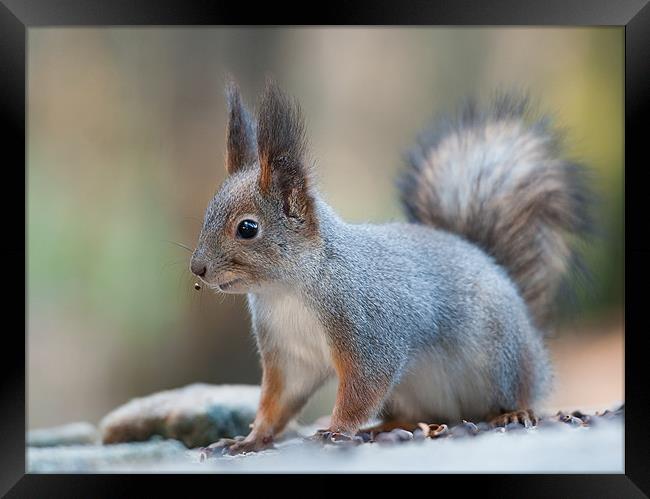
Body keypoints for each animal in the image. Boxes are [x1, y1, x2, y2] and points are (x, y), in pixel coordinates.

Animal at [189, 79, 592, 458]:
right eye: (208, 211)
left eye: (247, 228)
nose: (197, 268)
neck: (287, 290)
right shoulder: (290, 356)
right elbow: (278, 400)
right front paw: (250, 438)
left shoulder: (368, 329)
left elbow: (363, 387)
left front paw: (336, 431)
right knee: (423, 416)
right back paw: (387, 427)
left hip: (502, 361)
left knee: (519, 390)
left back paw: (512, 412)